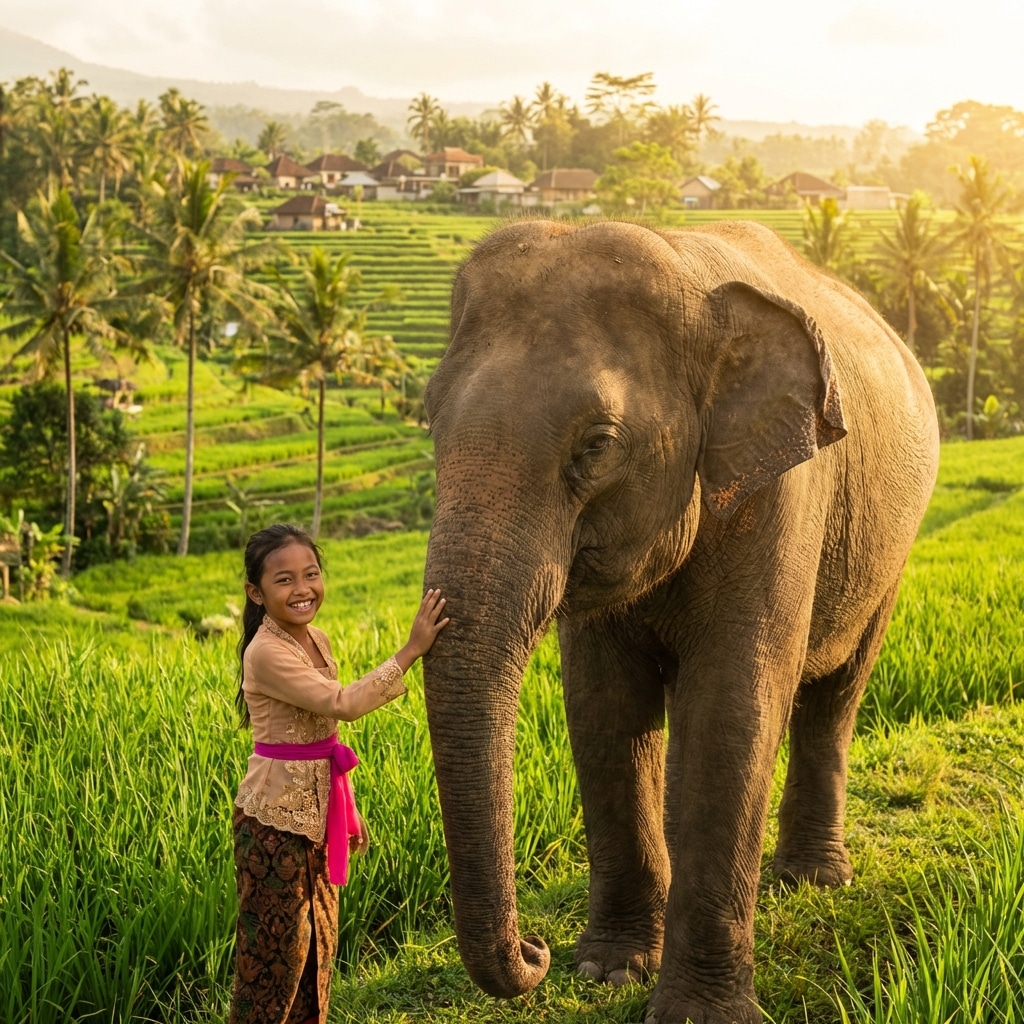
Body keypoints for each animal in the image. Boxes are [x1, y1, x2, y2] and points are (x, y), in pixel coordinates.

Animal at [420, 218, 939, 1024]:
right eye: (430, 421)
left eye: (597, 445)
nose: (536, 951)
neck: (685, 266)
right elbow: (603, 707)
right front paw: (608, 971)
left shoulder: (783, 493)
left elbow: (732, 706)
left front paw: (695, 1013)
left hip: (890, 551)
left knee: (837, 693)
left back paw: (815, 880)